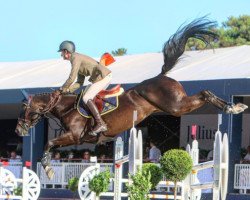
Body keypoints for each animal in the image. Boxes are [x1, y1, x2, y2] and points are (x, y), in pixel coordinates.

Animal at [14, 18, 247, 179]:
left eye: (24, 109)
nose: (18, 130)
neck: (66, 108)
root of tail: (162, 76)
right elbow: (51, 144)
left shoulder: (74, 136)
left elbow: (48, 143)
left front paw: (47, 169)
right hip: (173, 106)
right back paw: (233, 106)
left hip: (176, 106)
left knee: (204, 93)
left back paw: (233, 108)